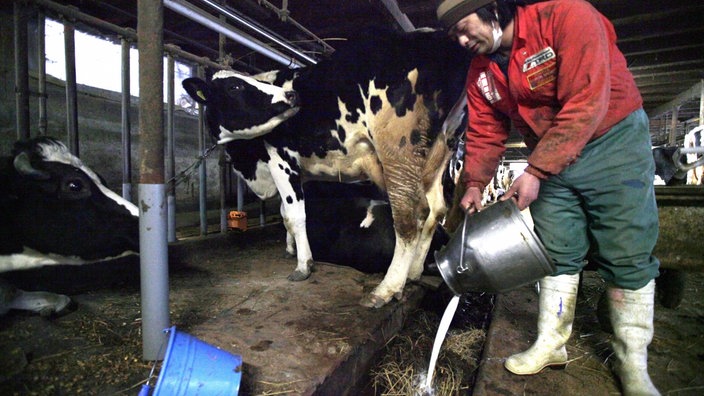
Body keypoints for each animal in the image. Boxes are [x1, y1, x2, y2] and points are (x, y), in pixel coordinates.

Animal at [184, 26, 472, 308]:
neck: (252, 165)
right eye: (235, 86)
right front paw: (292, 249)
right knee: (436, 210)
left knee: (411, 214)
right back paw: (413, 272)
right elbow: (286, 213)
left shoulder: (282, 159)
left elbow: (296, 214)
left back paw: (386, 289)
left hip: (397, 150)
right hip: (437, 153)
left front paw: (303, 265)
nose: (292, 95)